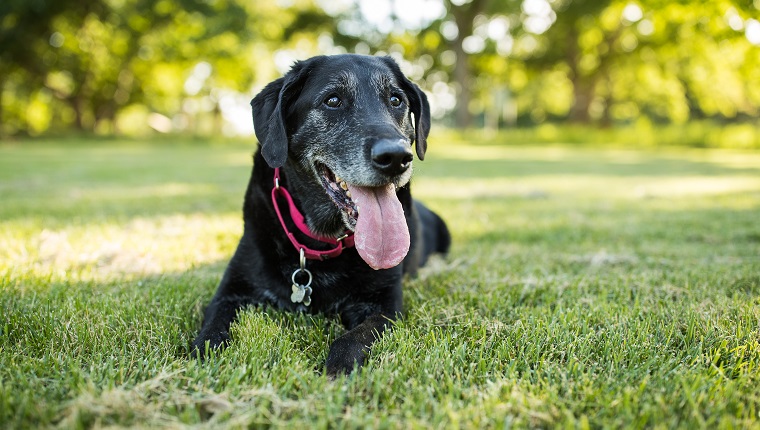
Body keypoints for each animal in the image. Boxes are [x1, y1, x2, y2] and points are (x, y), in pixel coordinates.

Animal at [193, 54, 448, 376]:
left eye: (395, 99)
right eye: (333, 100)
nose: (396, 158)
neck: (321, 241)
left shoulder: (386, 306)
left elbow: (353, 339)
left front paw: (337, 369)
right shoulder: (231, 291)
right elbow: (212, 329)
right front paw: (206, 353)